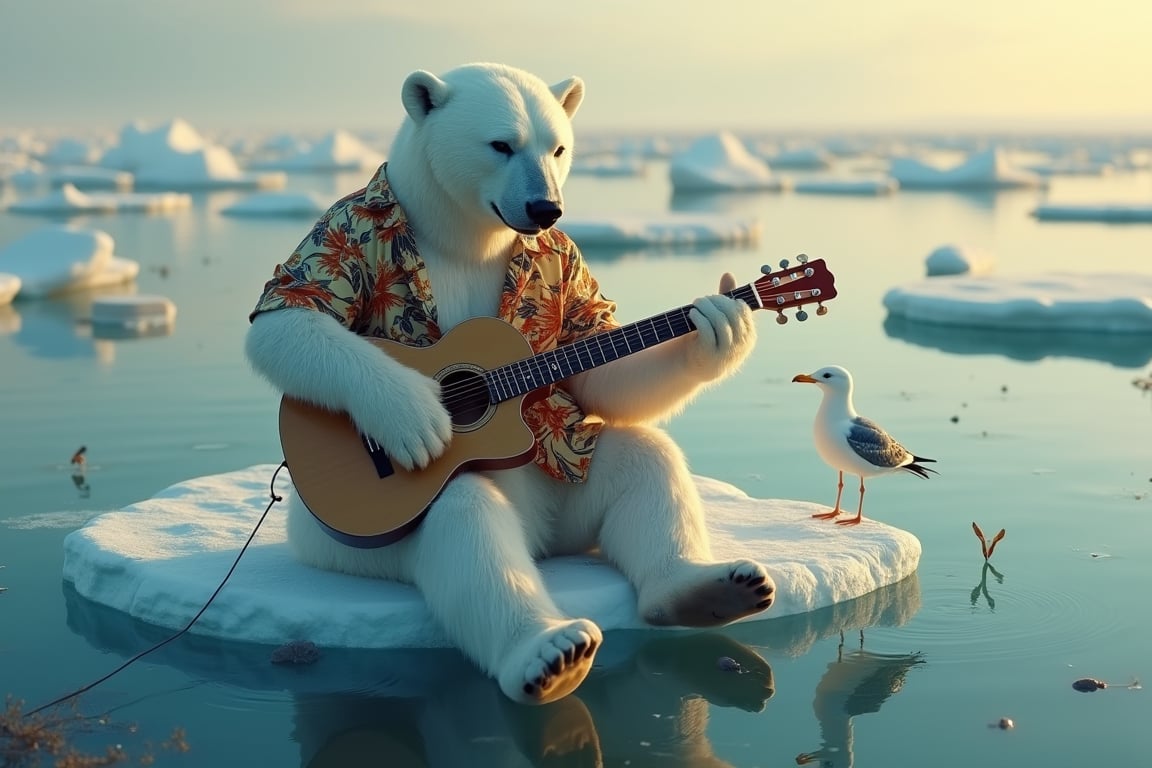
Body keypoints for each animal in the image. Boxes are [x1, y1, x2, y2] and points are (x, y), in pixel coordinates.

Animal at [245, 63, 774, 704]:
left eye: (558, 147)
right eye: (500, 144)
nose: (547, 208)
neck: (467, 234)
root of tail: (540, 540)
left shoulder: (566, 259)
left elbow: (596, 364)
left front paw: (722, 323)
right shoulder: (349, 226)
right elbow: (289, 314)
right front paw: (413, 417)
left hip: (565, 496)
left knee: (642, 459)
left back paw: (703, 589)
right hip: (351, 542)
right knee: (463, 518)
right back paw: (550, 653)